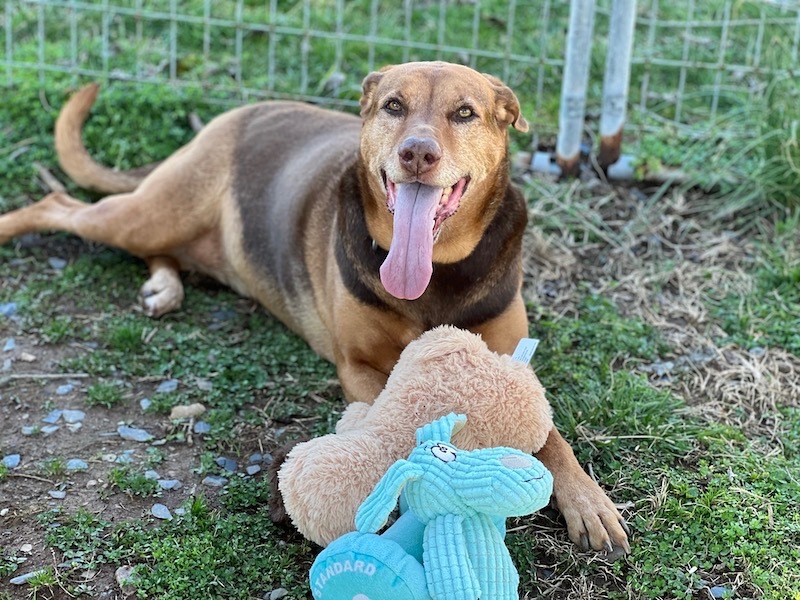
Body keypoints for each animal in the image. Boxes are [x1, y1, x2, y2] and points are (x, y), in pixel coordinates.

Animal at [0, 61, 632, 552]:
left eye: (465, 113)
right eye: (394, 105)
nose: (417, 153)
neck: (436, 273)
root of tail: (232, 116)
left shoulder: (512, 360)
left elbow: (551, 435)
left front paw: (588, 501)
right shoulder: (359, 367)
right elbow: (389, 421)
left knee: (158, 250)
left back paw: (165, 286)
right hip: (149, 212)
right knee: (60, 203)